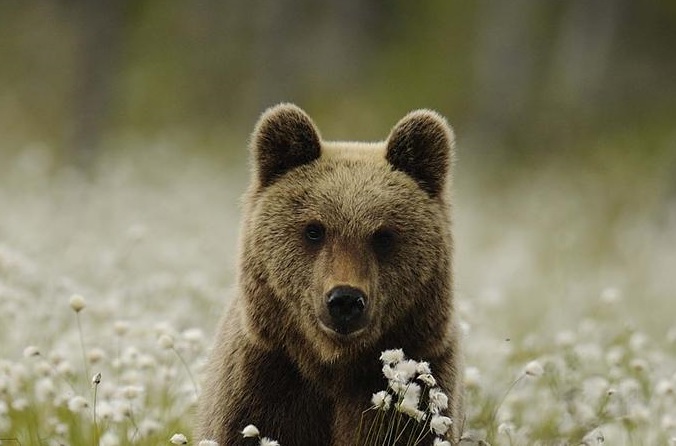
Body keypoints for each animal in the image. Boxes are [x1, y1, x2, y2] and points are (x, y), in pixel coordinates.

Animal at [197, 103, 463, 446]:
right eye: (314, 230)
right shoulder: (264, 381)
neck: (334, 366)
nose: (345, 299)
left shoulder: (420, 384)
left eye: (383, 236)